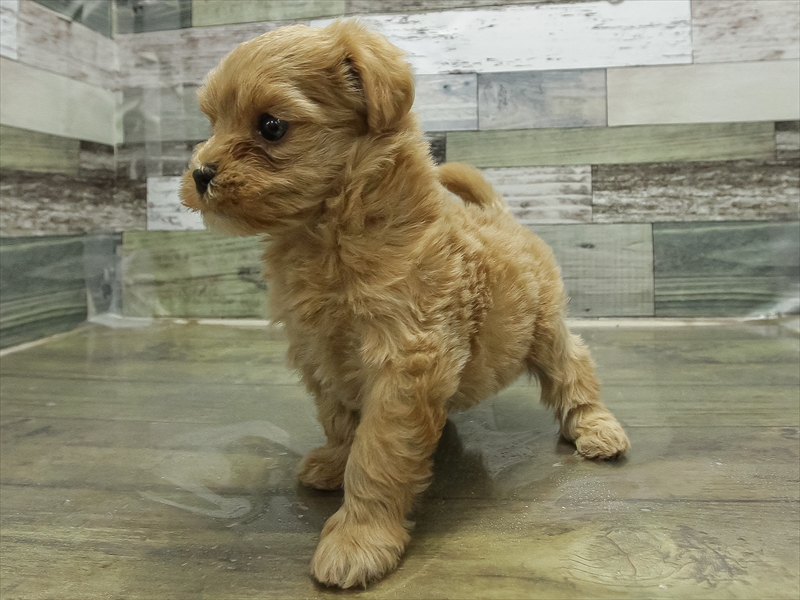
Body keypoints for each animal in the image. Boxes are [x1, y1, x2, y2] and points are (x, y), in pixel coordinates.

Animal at [180, 20, 630, 589]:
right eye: (211, 121)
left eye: (271, 127)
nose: (201, 172)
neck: (329, 235)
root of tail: (501, 215)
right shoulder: (319, 352)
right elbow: (341, 421)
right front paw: (335, 462)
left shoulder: (405, 356)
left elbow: (378, 452)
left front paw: (359, 538)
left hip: (544, 327)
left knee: (573, 367)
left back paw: (595, 426)